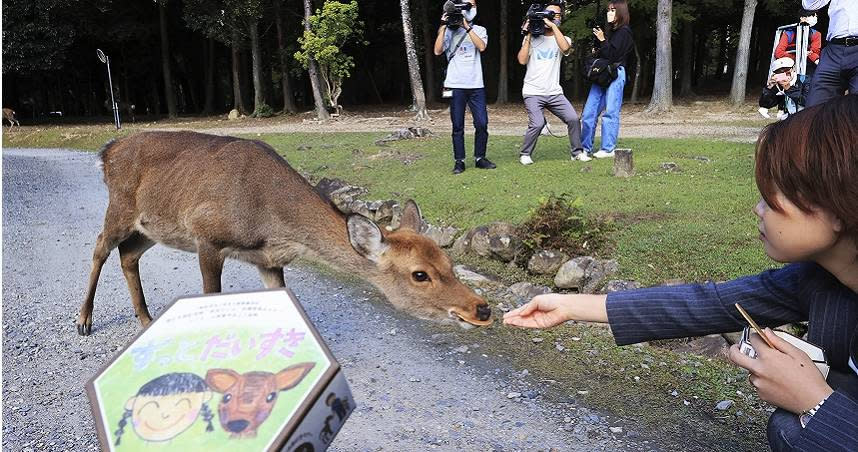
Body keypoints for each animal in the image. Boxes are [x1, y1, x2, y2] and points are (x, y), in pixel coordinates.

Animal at [78, 131, 494, 336]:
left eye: (450, 262)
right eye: (419, 274)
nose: (482, 308)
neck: (272, 225)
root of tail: (106, 151)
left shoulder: (269, 260)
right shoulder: (207, 236)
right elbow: (211, 297)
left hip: (152, 225)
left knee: (128, 254)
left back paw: (146, 320)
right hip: (120, 207)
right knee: (100, 246)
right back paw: (84, 321)